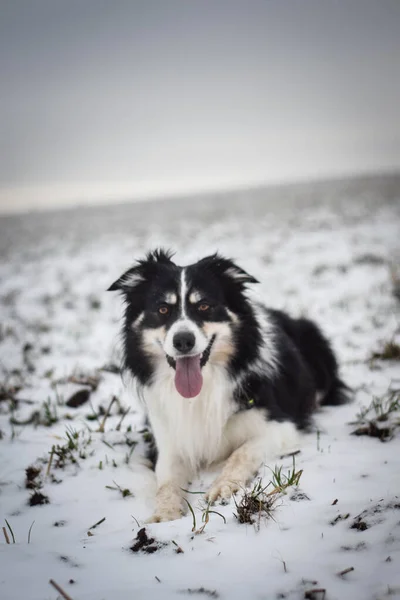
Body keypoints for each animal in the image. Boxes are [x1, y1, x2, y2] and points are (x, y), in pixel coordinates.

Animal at [108, 248, 348, 520]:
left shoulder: (281, 426)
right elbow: (166, 481)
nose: (183, 341)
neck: (204, 389)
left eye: (204, 306)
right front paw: (165, 514)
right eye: (162, 309)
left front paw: (223, 487)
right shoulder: (169, 439)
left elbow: (241, 453)